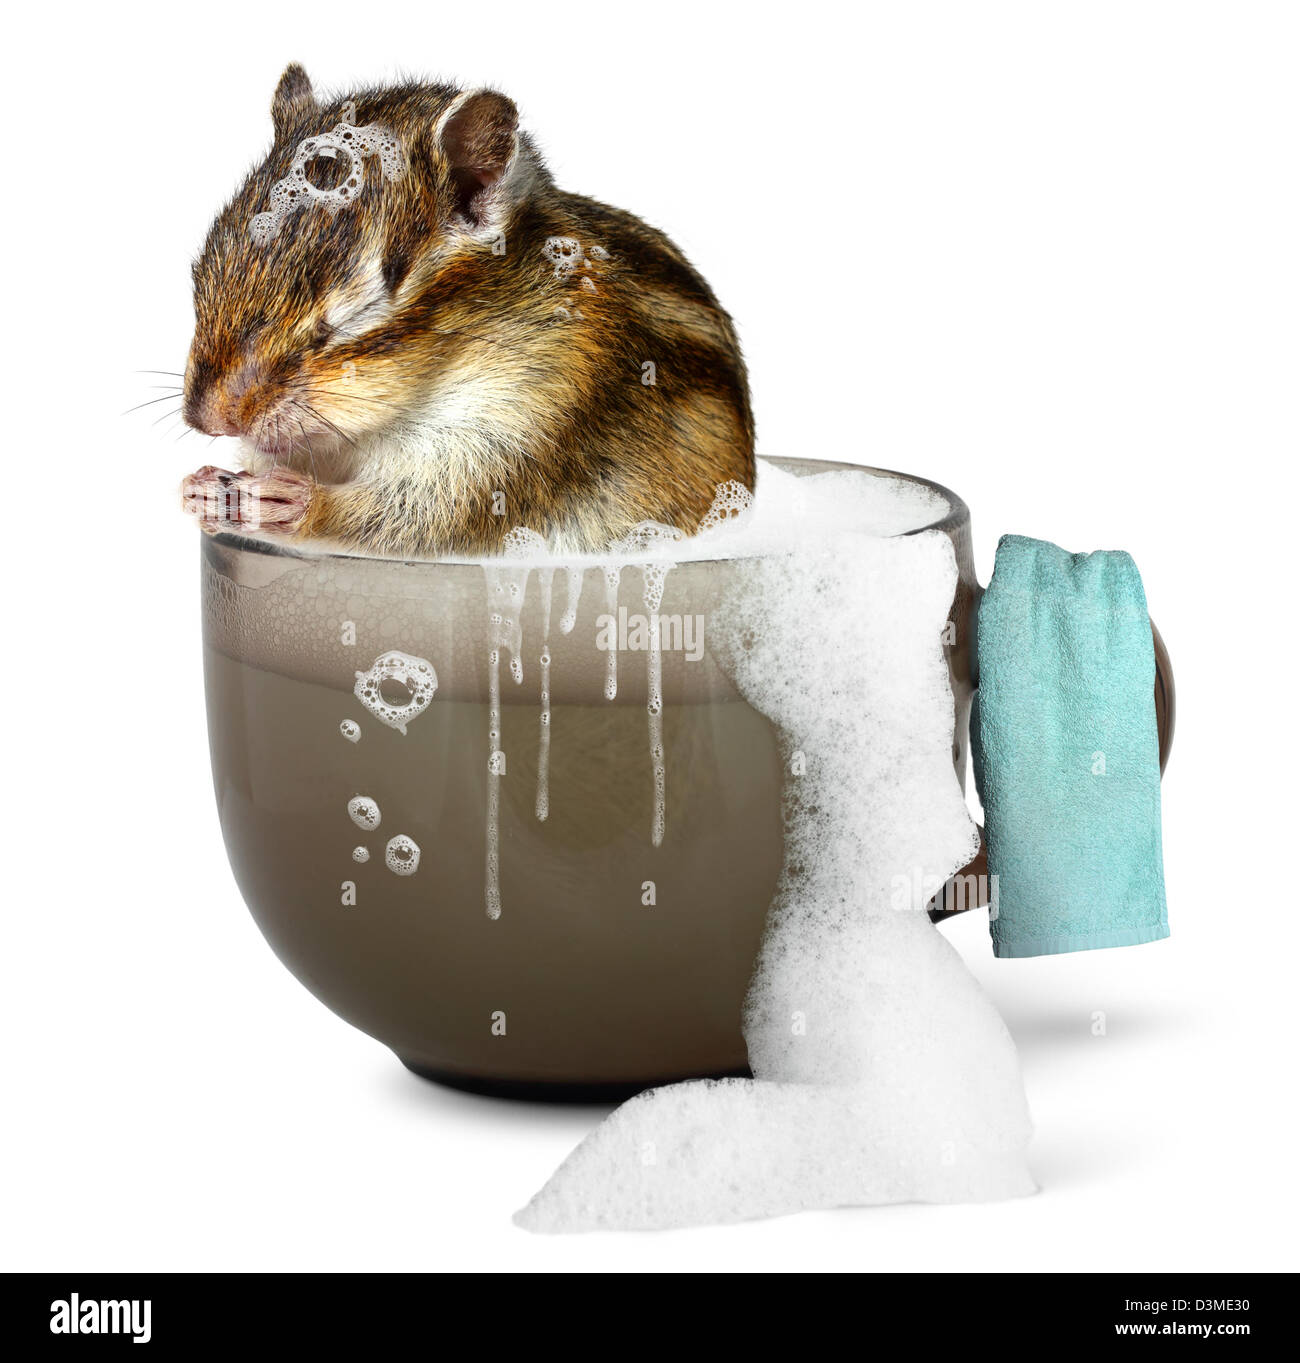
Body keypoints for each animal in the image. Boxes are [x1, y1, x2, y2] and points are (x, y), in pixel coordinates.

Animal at [181, 65, 755, 557]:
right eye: (202, 274)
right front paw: (200, 489)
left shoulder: (531, 430)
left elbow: (420, 516)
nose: (210, 418)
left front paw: (289, 502)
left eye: (355, 313)